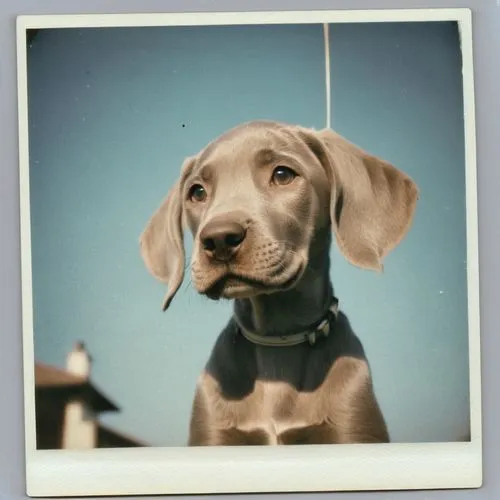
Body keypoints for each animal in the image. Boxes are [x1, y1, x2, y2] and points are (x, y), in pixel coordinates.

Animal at [140, 120, 418, 446]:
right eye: (197, 192)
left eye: (283, 174)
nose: (219, 239)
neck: (277, 340)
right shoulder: (212, 435)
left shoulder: (353, 427)